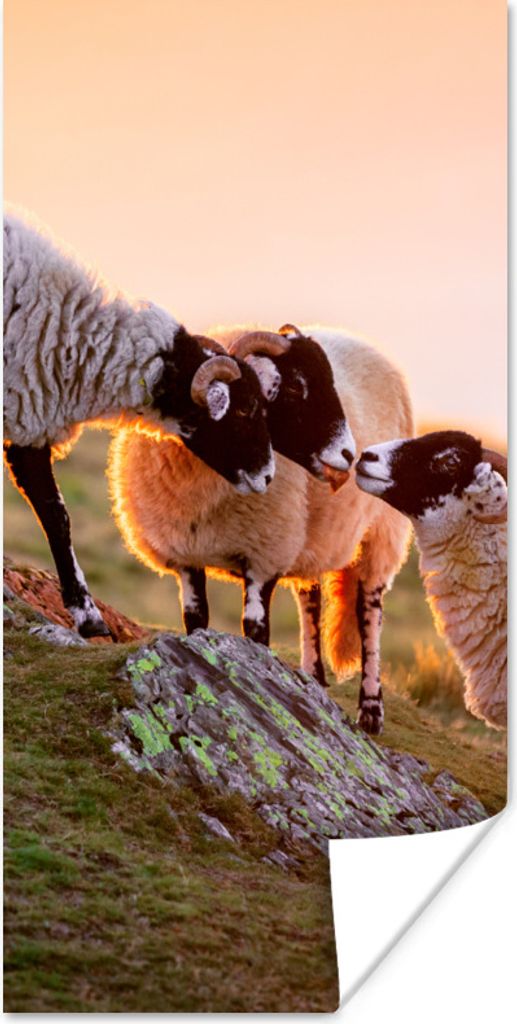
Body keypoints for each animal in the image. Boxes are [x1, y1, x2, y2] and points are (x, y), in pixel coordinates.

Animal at [3, 211, 276, 638]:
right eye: (246, 409)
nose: (267, 477)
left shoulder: (28, 419)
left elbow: (55, 512)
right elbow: (57, 517)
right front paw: (88, 617)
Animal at [108, 323, 414, 734]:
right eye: (296, 387)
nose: (350, 455)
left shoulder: (265, 555)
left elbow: (255, 630)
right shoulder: (187, 556)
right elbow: (196, 620)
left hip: (382, 533)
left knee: (370, 613)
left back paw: (370, 710)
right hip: (311, 537)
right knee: (310, 601)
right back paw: (313, 677)